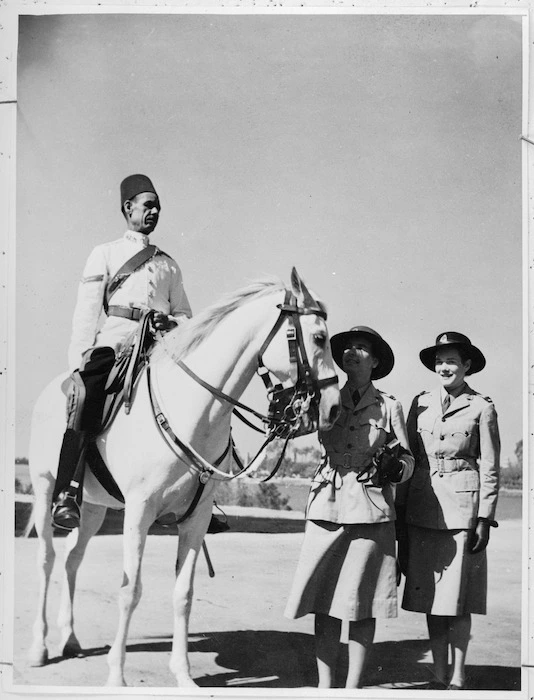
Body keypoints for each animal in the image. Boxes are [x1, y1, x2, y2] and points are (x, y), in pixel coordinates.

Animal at [26, 270, 340, 688]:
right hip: (45, 488)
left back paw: (71, 638)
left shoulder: (197, 518)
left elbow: (184, 593)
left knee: (72, 559)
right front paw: (116, 676)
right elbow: (130, 589)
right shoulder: (138, 513)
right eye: (319, 337)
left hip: (92, 507)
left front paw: (184, 674)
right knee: (46, 559)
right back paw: (39, 647)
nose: (334, 408)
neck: (193, 408)